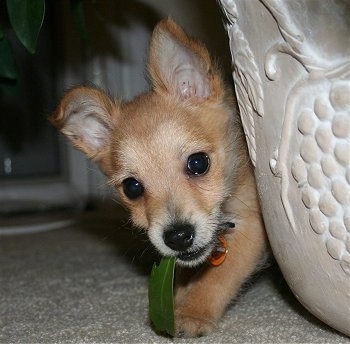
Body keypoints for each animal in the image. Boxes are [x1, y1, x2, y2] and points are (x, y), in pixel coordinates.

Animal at [51, 18, 266, 336]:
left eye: (198, 163)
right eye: (132, 187)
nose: (178, 237)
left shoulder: (251, 226)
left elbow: (218, 277)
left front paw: (192, 312)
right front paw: (177, 300)